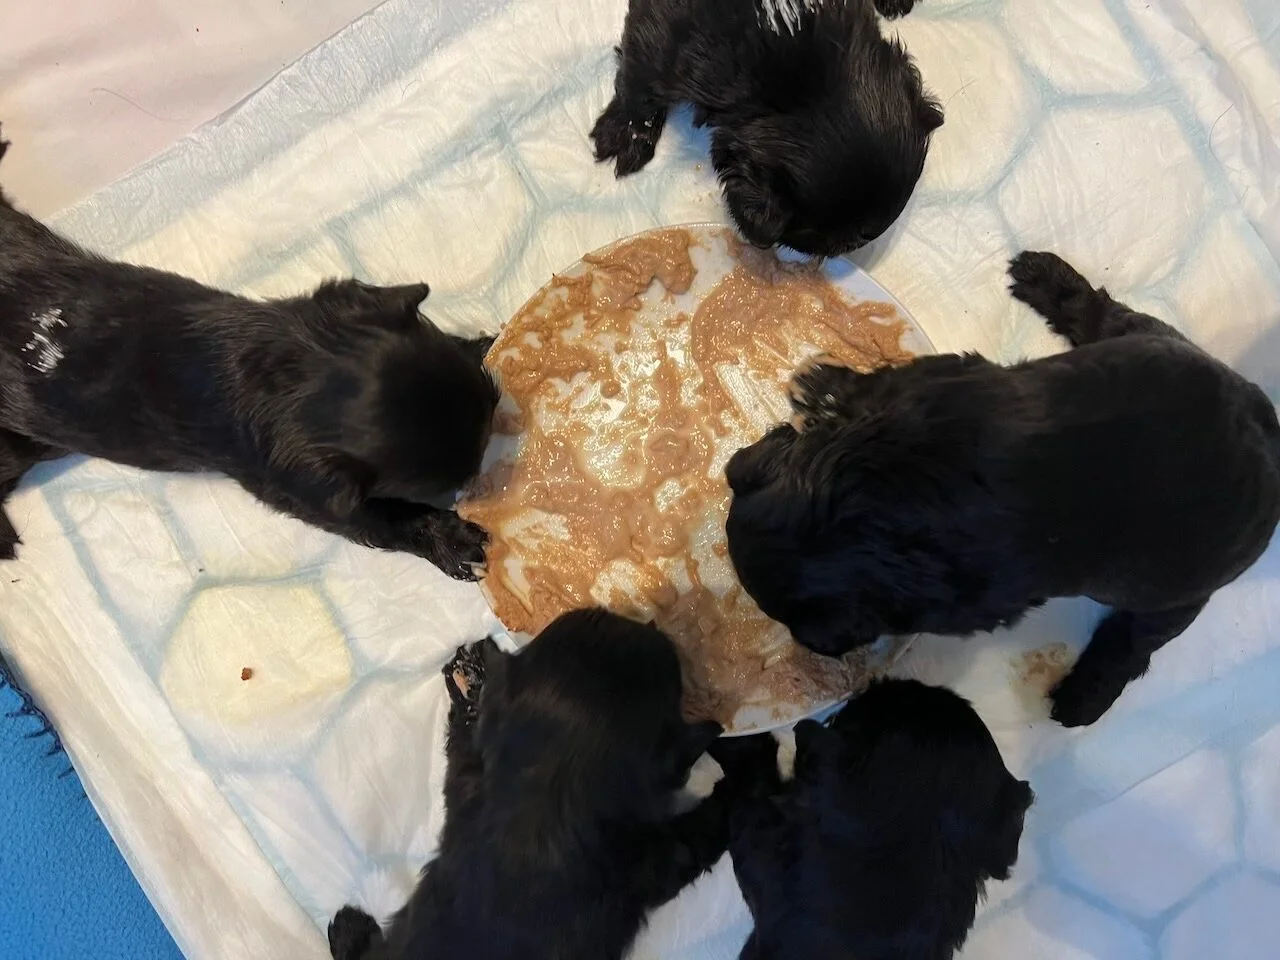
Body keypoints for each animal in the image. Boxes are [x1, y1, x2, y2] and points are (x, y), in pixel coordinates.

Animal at [0, 126, 497, 579]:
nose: (496, 400)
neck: (276, 374)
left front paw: (485, 343)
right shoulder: (309, 492)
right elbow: (384, 517)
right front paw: (454, 540)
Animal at [725, 251, 1280, 725]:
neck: (876, 521)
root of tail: (1266, 427)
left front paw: (822, 389)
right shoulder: (941, 383)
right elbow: (884, 385)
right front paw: (824, 388)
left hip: (1174, 591)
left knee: (1133, 643)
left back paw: (1083, 698)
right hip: (1148, 339)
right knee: (1100, 311)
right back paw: (1042, 275)